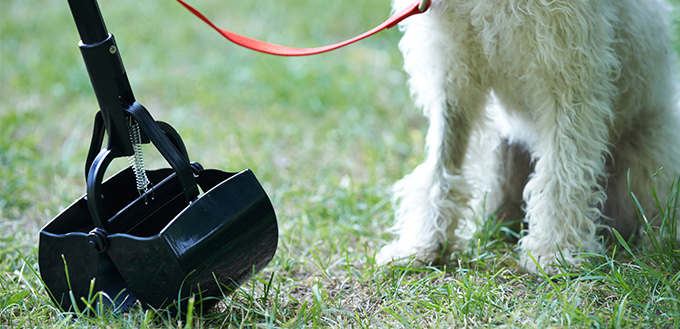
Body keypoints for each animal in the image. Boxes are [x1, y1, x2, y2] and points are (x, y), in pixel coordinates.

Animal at [378, 0, 680, 272]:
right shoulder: (453, 74)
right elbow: (442, 168)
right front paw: (424, 244)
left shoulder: (569, 74)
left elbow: (561, 174)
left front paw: (554, 251)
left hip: (651, 158)